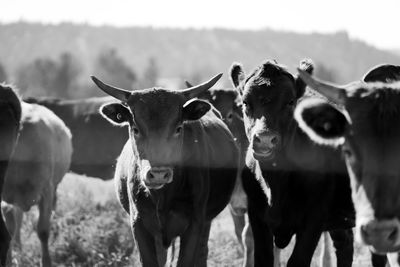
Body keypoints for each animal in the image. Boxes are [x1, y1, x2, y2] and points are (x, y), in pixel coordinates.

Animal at [0, 86, 72, 267]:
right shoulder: (4, 198)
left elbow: (43, 230)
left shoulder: (46, 190)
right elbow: (9, 231)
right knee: (16, 223)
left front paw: (46, 262)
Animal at [92, 74, 239, 267]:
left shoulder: (195, 224)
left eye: (178, 128)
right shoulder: (139, 224)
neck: (163, 196)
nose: (158, 174)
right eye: (136, 129)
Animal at [230, 59, 354, 267]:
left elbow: (298, 260)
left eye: (290, 102)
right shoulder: (257, 217)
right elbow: (262, 258)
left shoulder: (314, 219)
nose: (265, 139)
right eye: (245, 102)